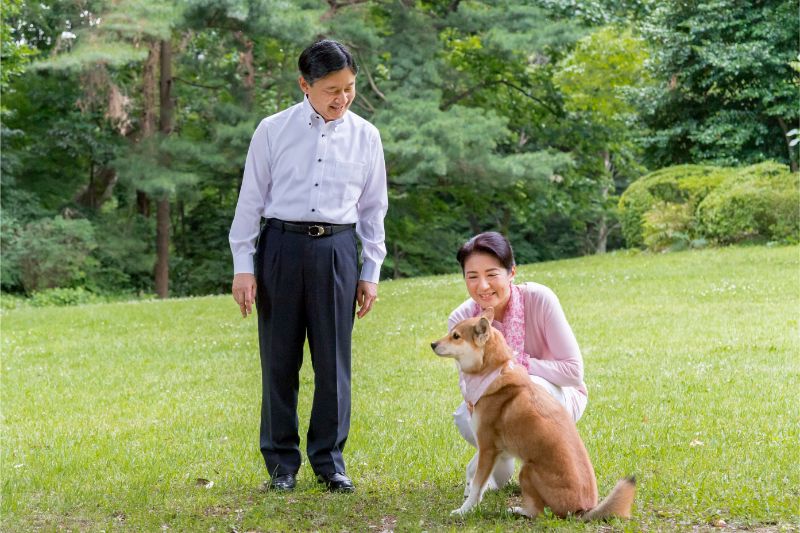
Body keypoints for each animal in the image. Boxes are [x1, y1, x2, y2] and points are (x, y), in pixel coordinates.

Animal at [434, 308, 636, 520]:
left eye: (456, 336)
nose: (432, 344)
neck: (493, 372)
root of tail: (582, 511)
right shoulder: (493, 448)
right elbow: (474, 473)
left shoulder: (488, 446)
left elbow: (477, 486)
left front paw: (464, 509)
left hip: (527, 469)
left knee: (537, 512)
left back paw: (517, 510)